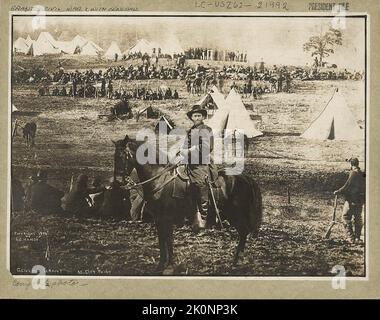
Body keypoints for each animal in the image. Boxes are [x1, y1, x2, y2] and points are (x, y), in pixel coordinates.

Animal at [113, 135, 262, 272]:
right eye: (115, 157)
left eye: (123, 156)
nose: (118, 182)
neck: (160, 179)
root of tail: (244, 177)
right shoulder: (159, 219)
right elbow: (162, 241)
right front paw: (161, 266)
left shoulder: (166, 218)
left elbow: (168, 240)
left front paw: (169, 266)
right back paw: (236, 261)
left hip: (236, 215)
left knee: (243, 233)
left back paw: (236, 261)